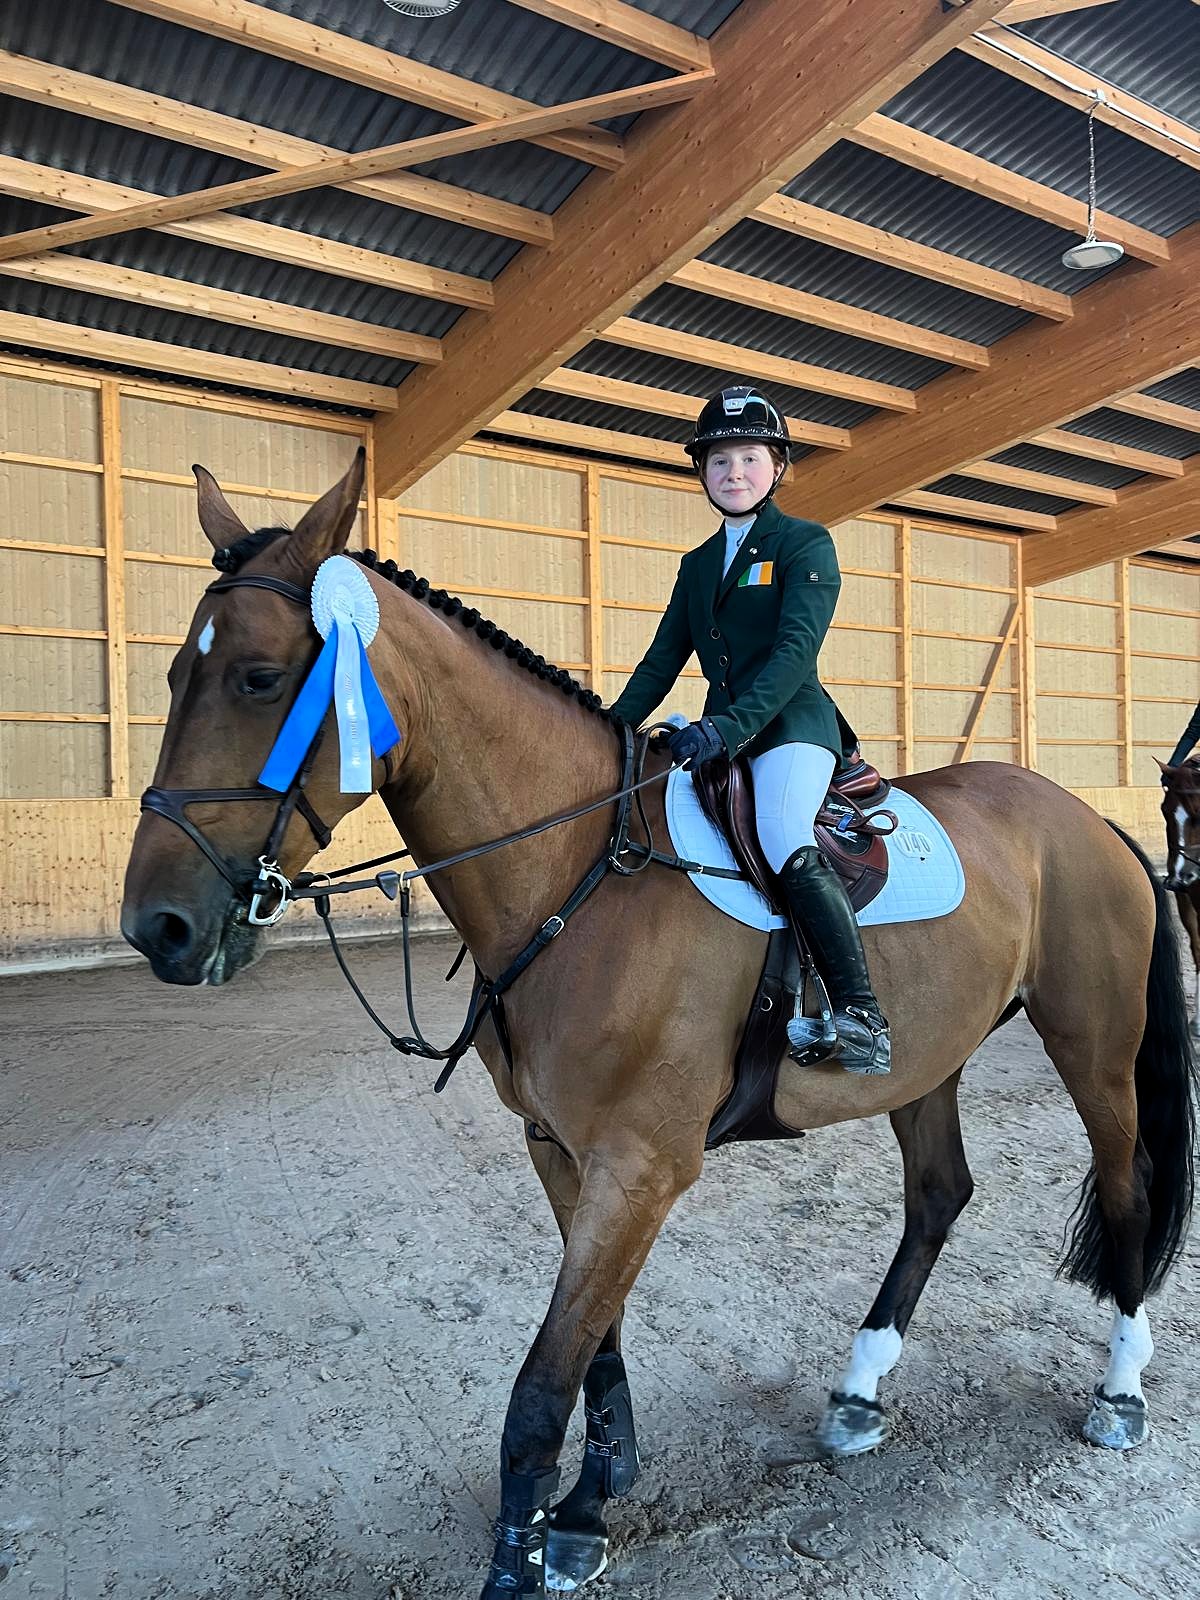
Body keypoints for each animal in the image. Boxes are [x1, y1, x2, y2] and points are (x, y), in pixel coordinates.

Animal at [121, 453, 1195, 1598]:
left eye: (259, 678)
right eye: (176, 676)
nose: (158, 929)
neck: (576, 873)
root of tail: (1084, 815)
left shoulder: (640, 1165)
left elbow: (541, 1383)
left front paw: (525, 1555)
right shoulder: (561, 1149)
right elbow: (595, 1346)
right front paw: (591, 1503)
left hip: (1093, 1043)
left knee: (1126, 1186)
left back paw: (1120, 1391)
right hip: (928, 1059)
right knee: (939, 1195)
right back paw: (860, 1393)